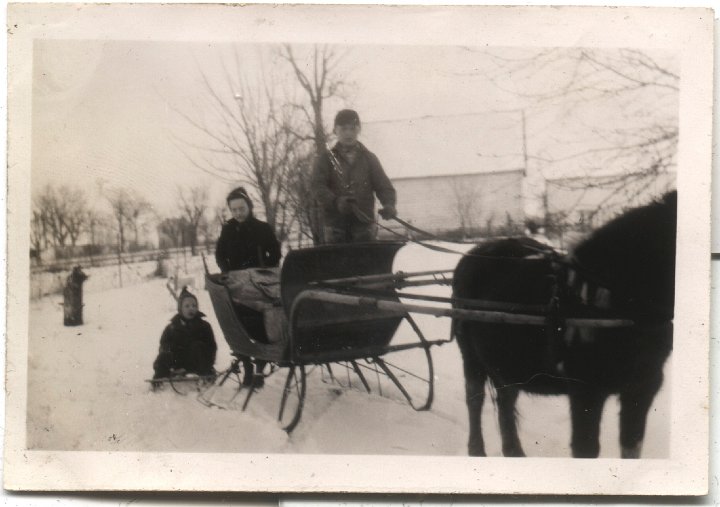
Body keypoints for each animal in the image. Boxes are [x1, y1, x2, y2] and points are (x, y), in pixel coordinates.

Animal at [456, 191, 676, 460]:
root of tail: (474, 253)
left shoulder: (642, 387)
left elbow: (631, 446)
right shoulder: (586, 391)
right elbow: (585, 448)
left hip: (505, 358)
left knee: (506, 400)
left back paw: (514, 452)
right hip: (470, 354)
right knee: (474, 399)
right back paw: (477, 450)